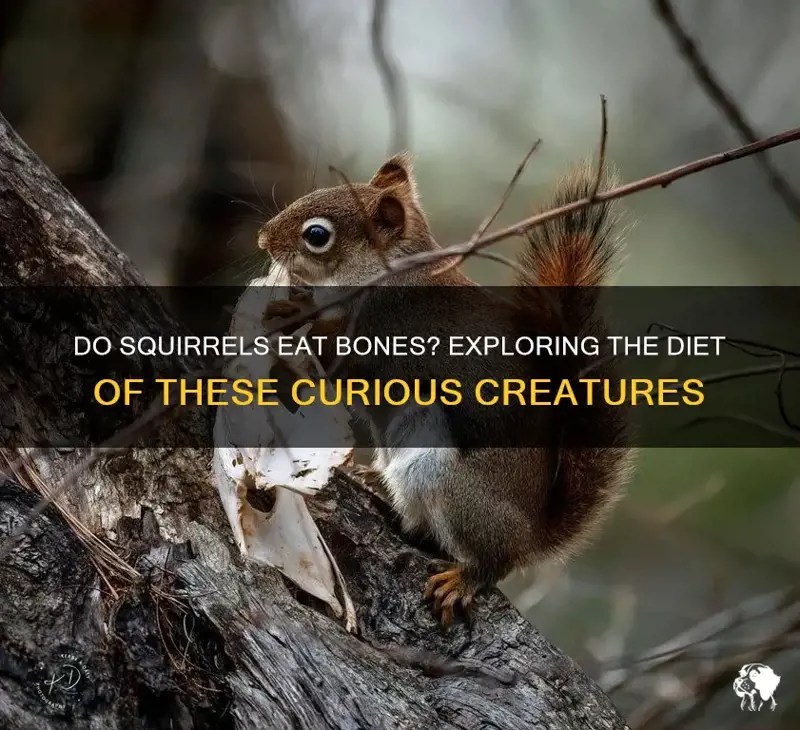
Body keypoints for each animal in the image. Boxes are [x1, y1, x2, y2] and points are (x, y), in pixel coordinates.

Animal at [257, 153, 633, 628]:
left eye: (317, 235)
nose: (262, 239)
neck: (388, 273)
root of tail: (531, 535)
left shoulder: (385, 327)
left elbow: (333, 356)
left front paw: (291, 309)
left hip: (447, 483)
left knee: (490, 562)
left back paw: (463, 579)